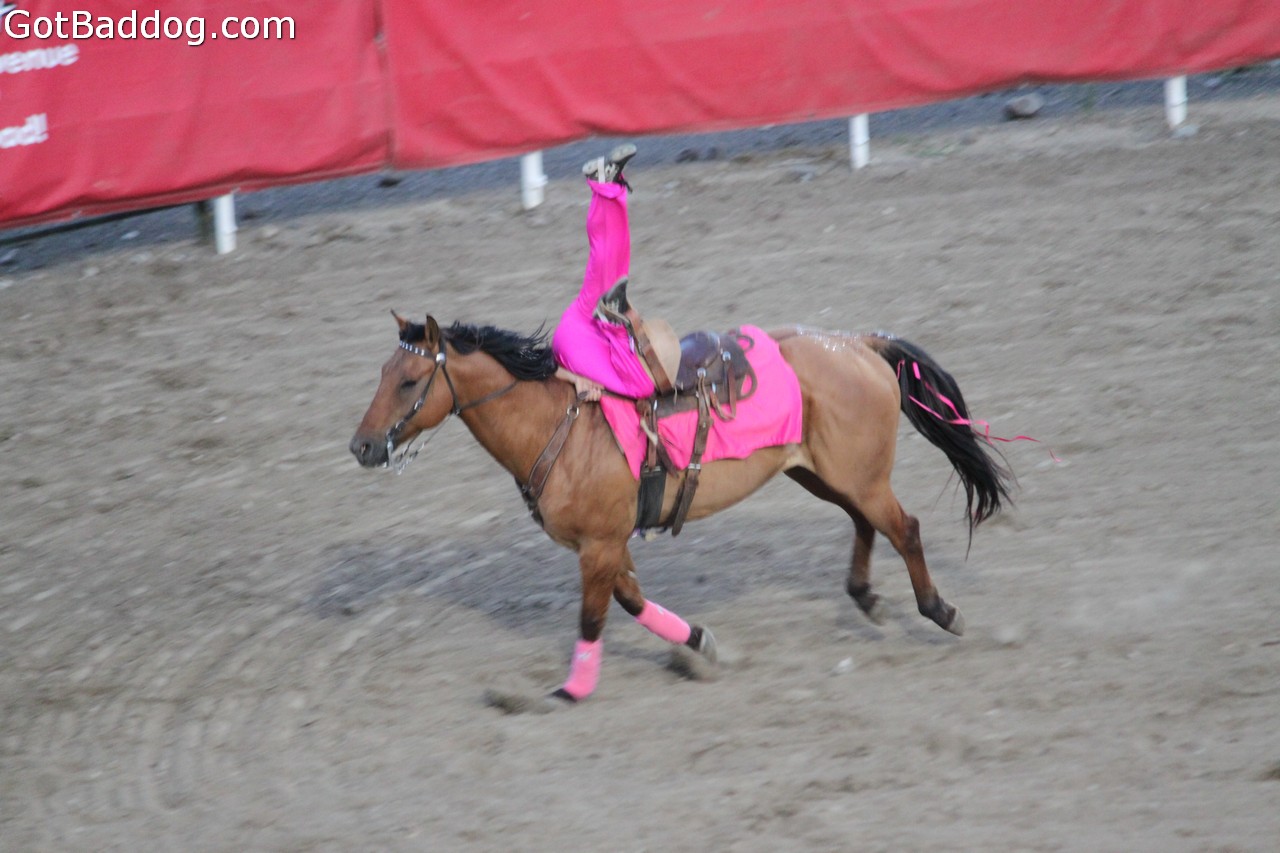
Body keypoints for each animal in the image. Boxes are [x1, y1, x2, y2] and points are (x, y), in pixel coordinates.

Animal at [349, 313, 1011, 705]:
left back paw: (940, 611)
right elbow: (633, 602)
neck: (563, 424)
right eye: (380, 372)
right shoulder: (609, 545)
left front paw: (571, 691)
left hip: (858, 476)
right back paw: (866, 597)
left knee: (905, 528)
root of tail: (857, 342)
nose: (363, 447)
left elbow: (592, 618)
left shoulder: (598, 546)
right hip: (822, 472)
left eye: (408, 381)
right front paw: (698, 643)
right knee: (866, 525)